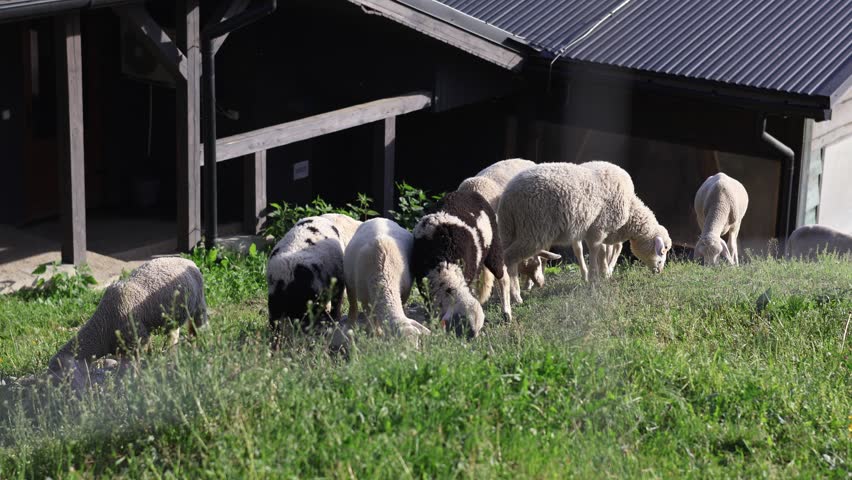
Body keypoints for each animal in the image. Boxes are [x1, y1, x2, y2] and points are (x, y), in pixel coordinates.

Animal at [48, 257, 207, 388]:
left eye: (64, 377)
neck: (103, 326)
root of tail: (188, 260)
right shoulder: (130, 343)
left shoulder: (135, 341)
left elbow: (131, 370)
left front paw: (132, 384)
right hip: (173, 317)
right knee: (174, 334)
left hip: (198, 304)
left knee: (198, 328)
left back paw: (199, 349)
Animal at [411, 190, 512, 338]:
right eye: (462, 325)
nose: (474, 340)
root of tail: (468, 192)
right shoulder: (424, 284)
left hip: (494, 244)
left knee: (503, 277)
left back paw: (507, 313)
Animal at [498, 162, 671, 301]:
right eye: (663, 250)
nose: (660, 271)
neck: (630, 209)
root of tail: (508, 197)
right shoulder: (599, 228)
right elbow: (596, 250)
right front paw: (595, 277)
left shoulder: (594, 228)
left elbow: (596, 251)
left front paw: (598, 274)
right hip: (533, 230)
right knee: (510, 258)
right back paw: (515, 296)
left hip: (509, 230)